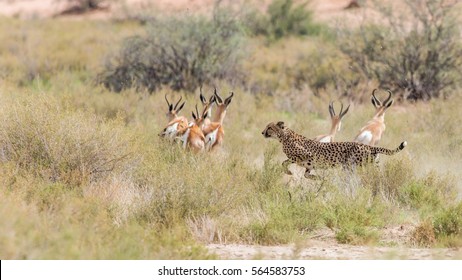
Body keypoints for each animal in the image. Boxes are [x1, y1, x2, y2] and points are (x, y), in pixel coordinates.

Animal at [262, 121, 406, 178]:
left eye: (269, 127)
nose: (262, 132)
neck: (283, 136)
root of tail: (368, 146)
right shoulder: (306, 163)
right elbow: (303, 172)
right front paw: (316, 178)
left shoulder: (306, 155)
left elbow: (287, 162)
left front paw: (290, 172)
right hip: (372, 165)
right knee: (378, 176)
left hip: (351, 166)